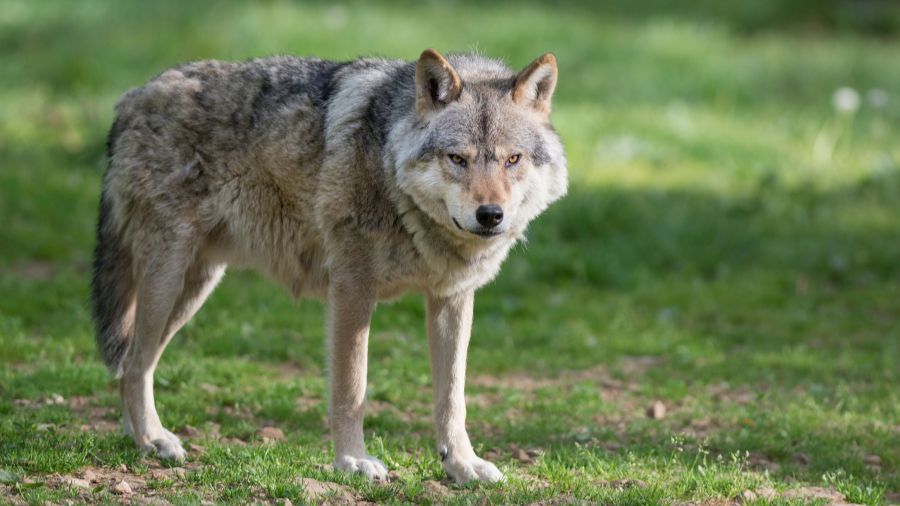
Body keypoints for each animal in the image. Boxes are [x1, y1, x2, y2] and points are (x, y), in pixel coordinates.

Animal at [91, 48, 567, 483]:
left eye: (512, 160)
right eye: (458, 159)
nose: (490, 215)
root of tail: (133, 96)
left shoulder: (451, 298)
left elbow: (453, 397)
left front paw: (462, 465)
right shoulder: (352, 289)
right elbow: (351, 388)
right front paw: (352, 461)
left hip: (194, 288)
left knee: (132, 363)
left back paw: (139, 439)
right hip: (168, 281)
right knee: (134, 363)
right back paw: (153, 439)